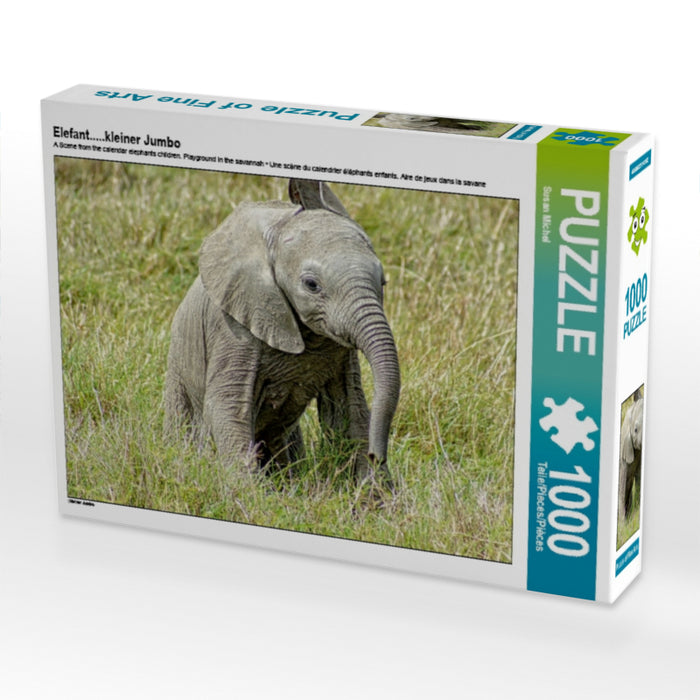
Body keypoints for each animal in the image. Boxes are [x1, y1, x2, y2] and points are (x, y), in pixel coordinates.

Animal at [164, 178, 400, 488]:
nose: (377, 456)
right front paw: (250, 495)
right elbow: (227, 405)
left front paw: (375, 495)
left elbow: (349, 407)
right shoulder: (234, 325)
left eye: (382, 282)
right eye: (312, 285)